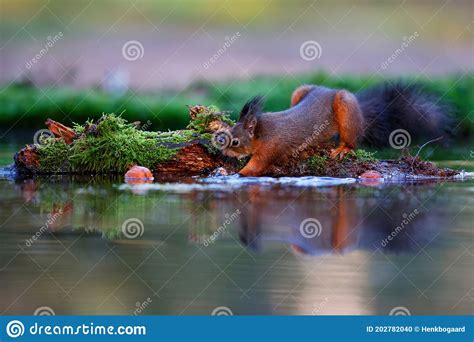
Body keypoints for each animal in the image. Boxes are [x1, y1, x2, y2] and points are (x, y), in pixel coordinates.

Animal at [215, 81, 452, 175]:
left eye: (235, 141)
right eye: (226, 134)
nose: (223, 151)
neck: (261, 132)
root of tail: (328, 90)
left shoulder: (271, 148)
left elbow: (256, 167)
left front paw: (235, 175)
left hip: (345, 107)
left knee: (353, 140)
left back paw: (343, 148)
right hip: (300, 92)